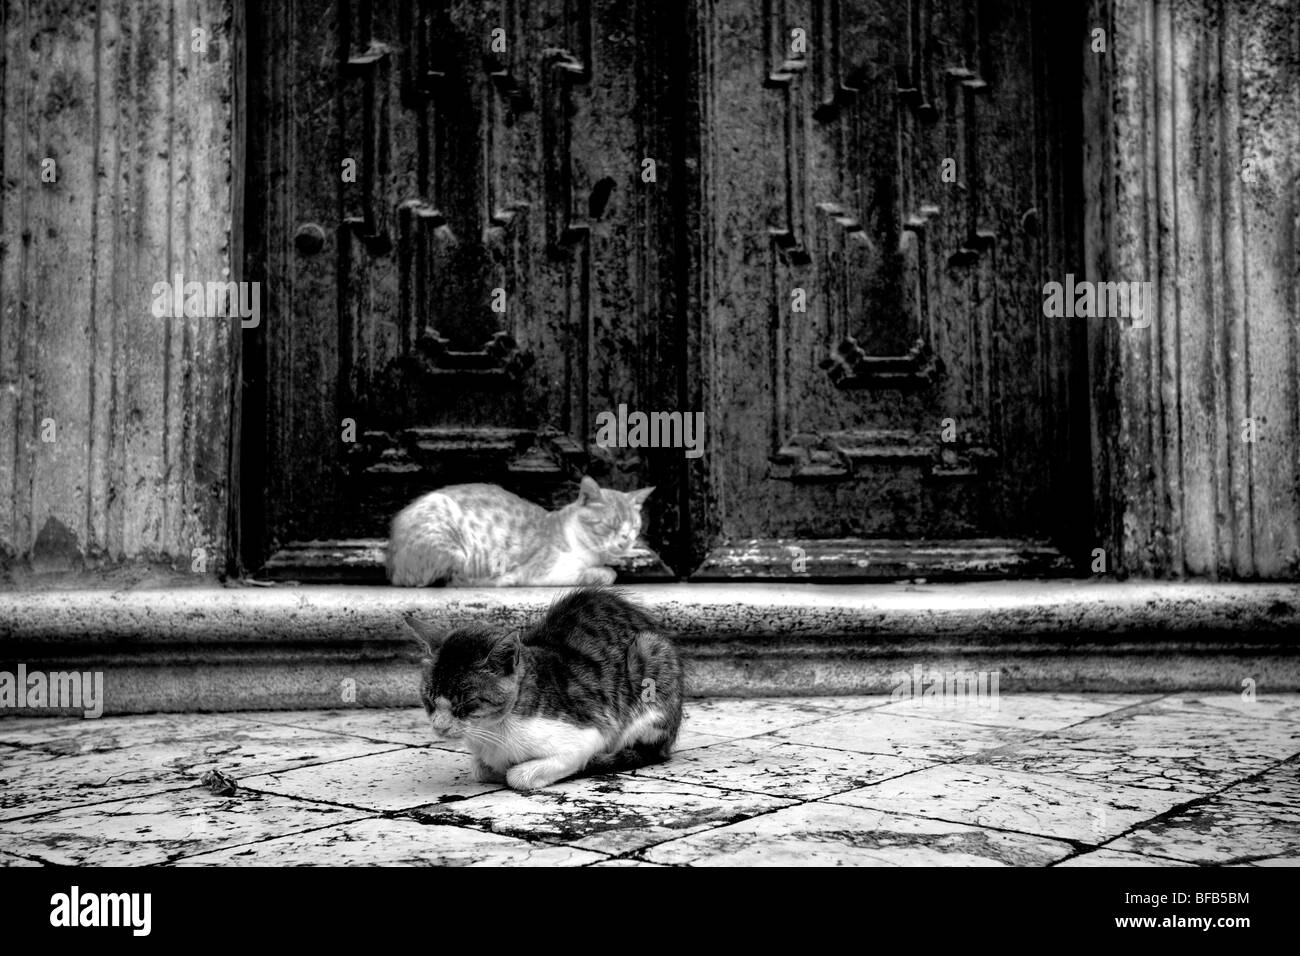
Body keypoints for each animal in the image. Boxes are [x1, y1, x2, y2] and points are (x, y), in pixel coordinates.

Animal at [382, 476, 650, 587]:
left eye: (633, 529)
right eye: (611, 525)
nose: (625, 541)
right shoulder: (546, 572)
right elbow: (604, 575)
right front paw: (603, 572)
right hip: (456, 551)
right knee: (451, 581)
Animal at [408, 590, 686, 790]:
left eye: (465, 702)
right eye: (429, 699)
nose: (440, 727)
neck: (491, 734)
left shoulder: (588, 734)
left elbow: (518, 776)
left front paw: (516, 772)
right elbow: (480, 768)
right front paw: (492, 768)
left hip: (651, 657)